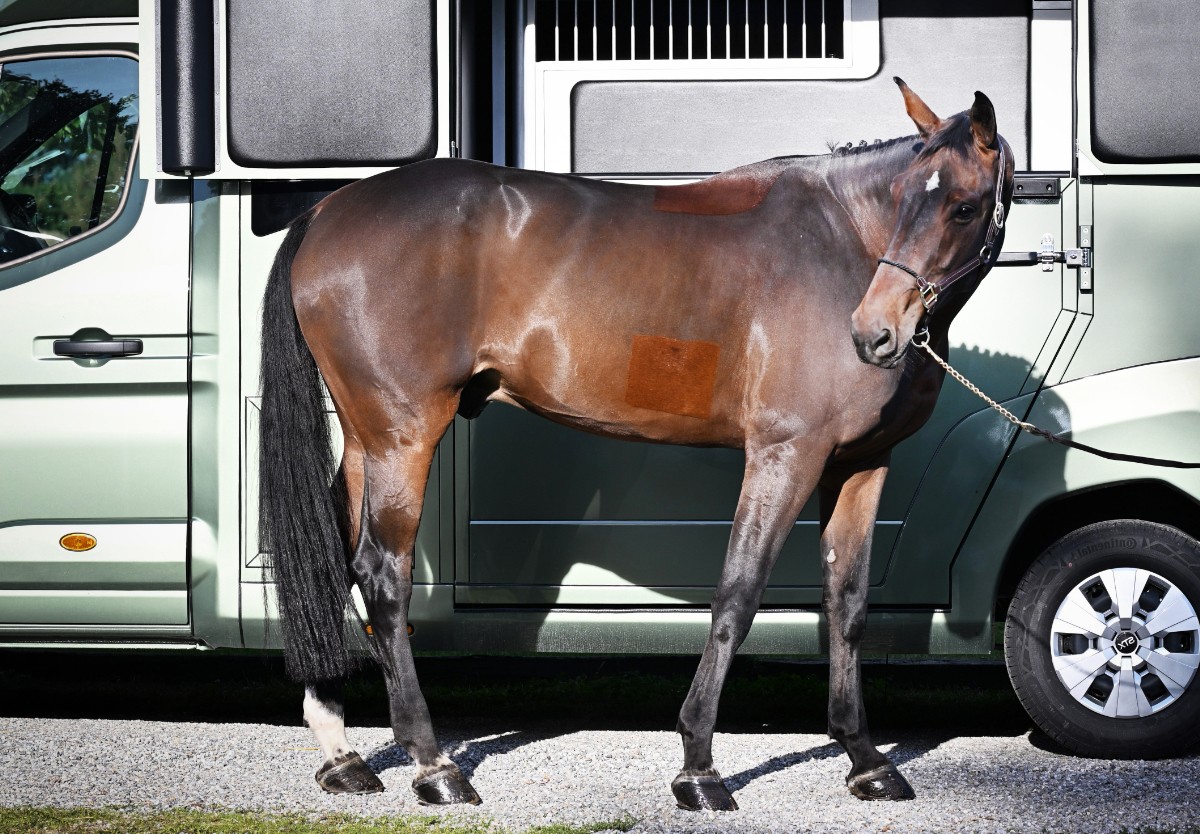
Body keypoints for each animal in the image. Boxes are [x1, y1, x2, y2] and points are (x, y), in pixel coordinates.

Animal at [258, 78, 1014, 810]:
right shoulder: (785, 452)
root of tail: (328, 211)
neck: (842, 242)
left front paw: (866, 761)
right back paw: (434, 764)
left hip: (367, 439)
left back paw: (344, 753)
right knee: (384, 575)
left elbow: (849, 605)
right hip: (403, 436)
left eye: (963, 208)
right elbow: (738, 595)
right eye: (909, 198)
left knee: (336, 559)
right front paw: (698, 767)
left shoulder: (860, 464)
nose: (874, 331)